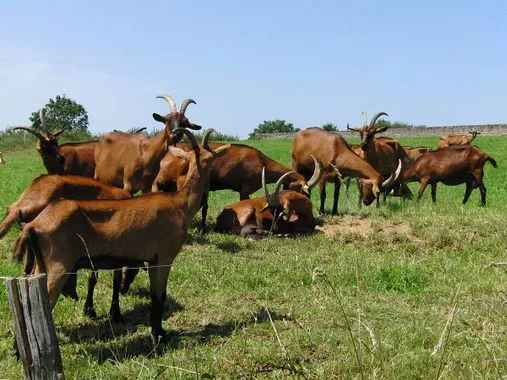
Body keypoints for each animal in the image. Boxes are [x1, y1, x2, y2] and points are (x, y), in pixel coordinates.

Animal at [12, 128, 230, 342]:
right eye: (211, 158)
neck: (180, 202)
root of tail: (34, 224)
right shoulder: (164, 257)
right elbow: (159, 295)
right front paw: (158, 334)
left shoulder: (152, 260)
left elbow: (155, 294)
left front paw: (157, 330)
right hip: (58, 266)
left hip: (41, 266)